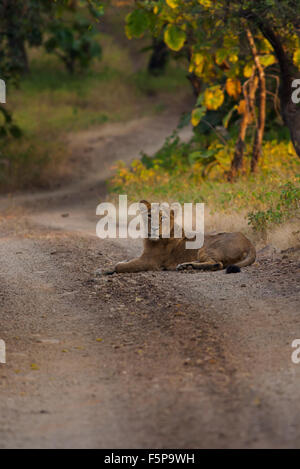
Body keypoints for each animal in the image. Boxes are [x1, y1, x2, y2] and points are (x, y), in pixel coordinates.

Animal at [103, 198, 255, 274]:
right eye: (149, 215)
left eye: (163, 217)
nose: (154, 228)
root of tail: (250, 243)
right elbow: (127, 260)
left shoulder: (149, 261)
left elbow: (121, 267)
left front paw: (109, 269)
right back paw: (185, 266)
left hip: (207, 247)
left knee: (217, 264)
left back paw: (187, 267)